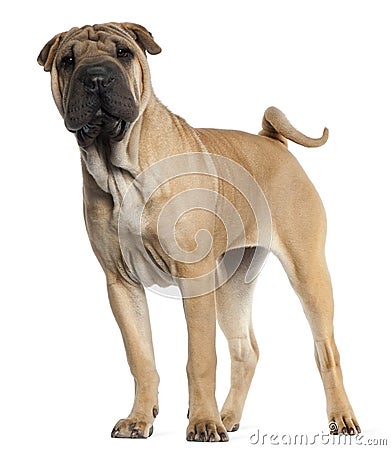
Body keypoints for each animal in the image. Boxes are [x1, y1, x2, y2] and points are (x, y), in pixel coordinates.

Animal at [38, 22, 360, 442]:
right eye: (67, 60)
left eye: (123, 53)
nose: (95, 77)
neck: (120, 167)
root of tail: (271, 140)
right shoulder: (121, 284)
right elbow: (141, 358)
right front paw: (140, 418)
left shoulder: (193, 279)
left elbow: (201, 358)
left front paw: (202, 422)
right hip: (232, 284)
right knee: (245, 351)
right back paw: (229, 415)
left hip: (308, 273)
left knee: (326, 350)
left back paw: (340, 416)